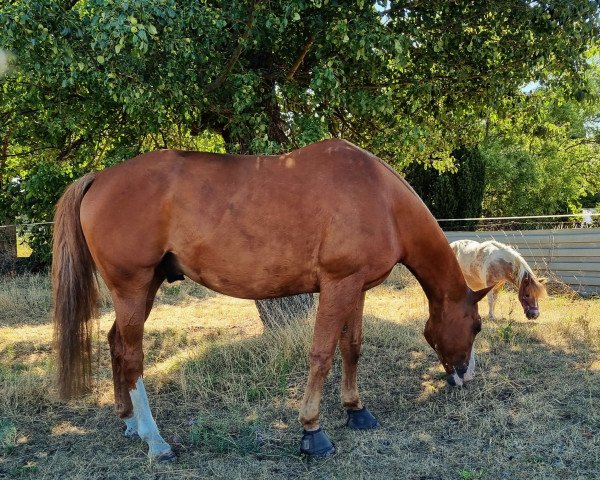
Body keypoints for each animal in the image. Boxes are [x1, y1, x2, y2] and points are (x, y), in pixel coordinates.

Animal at [51, 137, 492, 460]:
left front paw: (356, 410)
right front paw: (312, 432)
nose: (465, 377)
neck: (380, 198)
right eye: (476, 326)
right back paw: (155, 441)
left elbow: (351, 347)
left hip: (145, 289)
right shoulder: (338, 285)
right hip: (133, 287)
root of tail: (99, 178)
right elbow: (321, 356)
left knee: (115, 343)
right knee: (132, 357)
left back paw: (129, 422)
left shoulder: (356, 288)